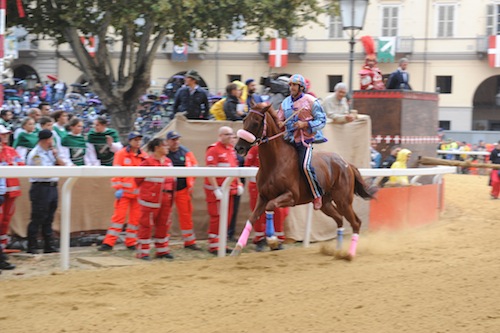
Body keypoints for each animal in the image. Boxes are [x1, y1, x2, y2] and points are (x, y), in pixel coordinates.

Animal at [232, 102, 376, 258]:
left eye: (256, 122)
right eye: (244, 119)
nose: (239, 147)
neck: (274, 163)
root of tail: (347, 164)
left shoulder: (291, 196)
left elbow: (271, 206)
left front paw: (272, 240)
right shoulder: (263, 196)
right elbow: (252, 218)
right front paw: (237, 248)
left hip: (343, 201)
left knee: (356, 223)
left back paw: (349, 254)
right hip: (326, 203)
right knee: (339, 218)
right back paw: (337, 251)